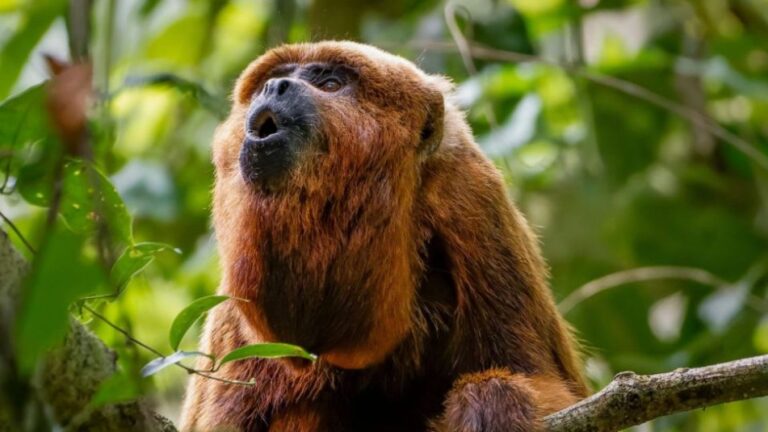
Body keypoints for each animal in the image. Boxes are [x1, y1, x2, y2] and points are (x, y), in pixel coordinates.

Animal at [180, 41, 588, 432]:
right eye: (274, 78)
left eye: (331, 84)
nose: (274, 86)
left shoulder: (474, 200)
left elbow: (539, 377)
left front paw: (492, 404)